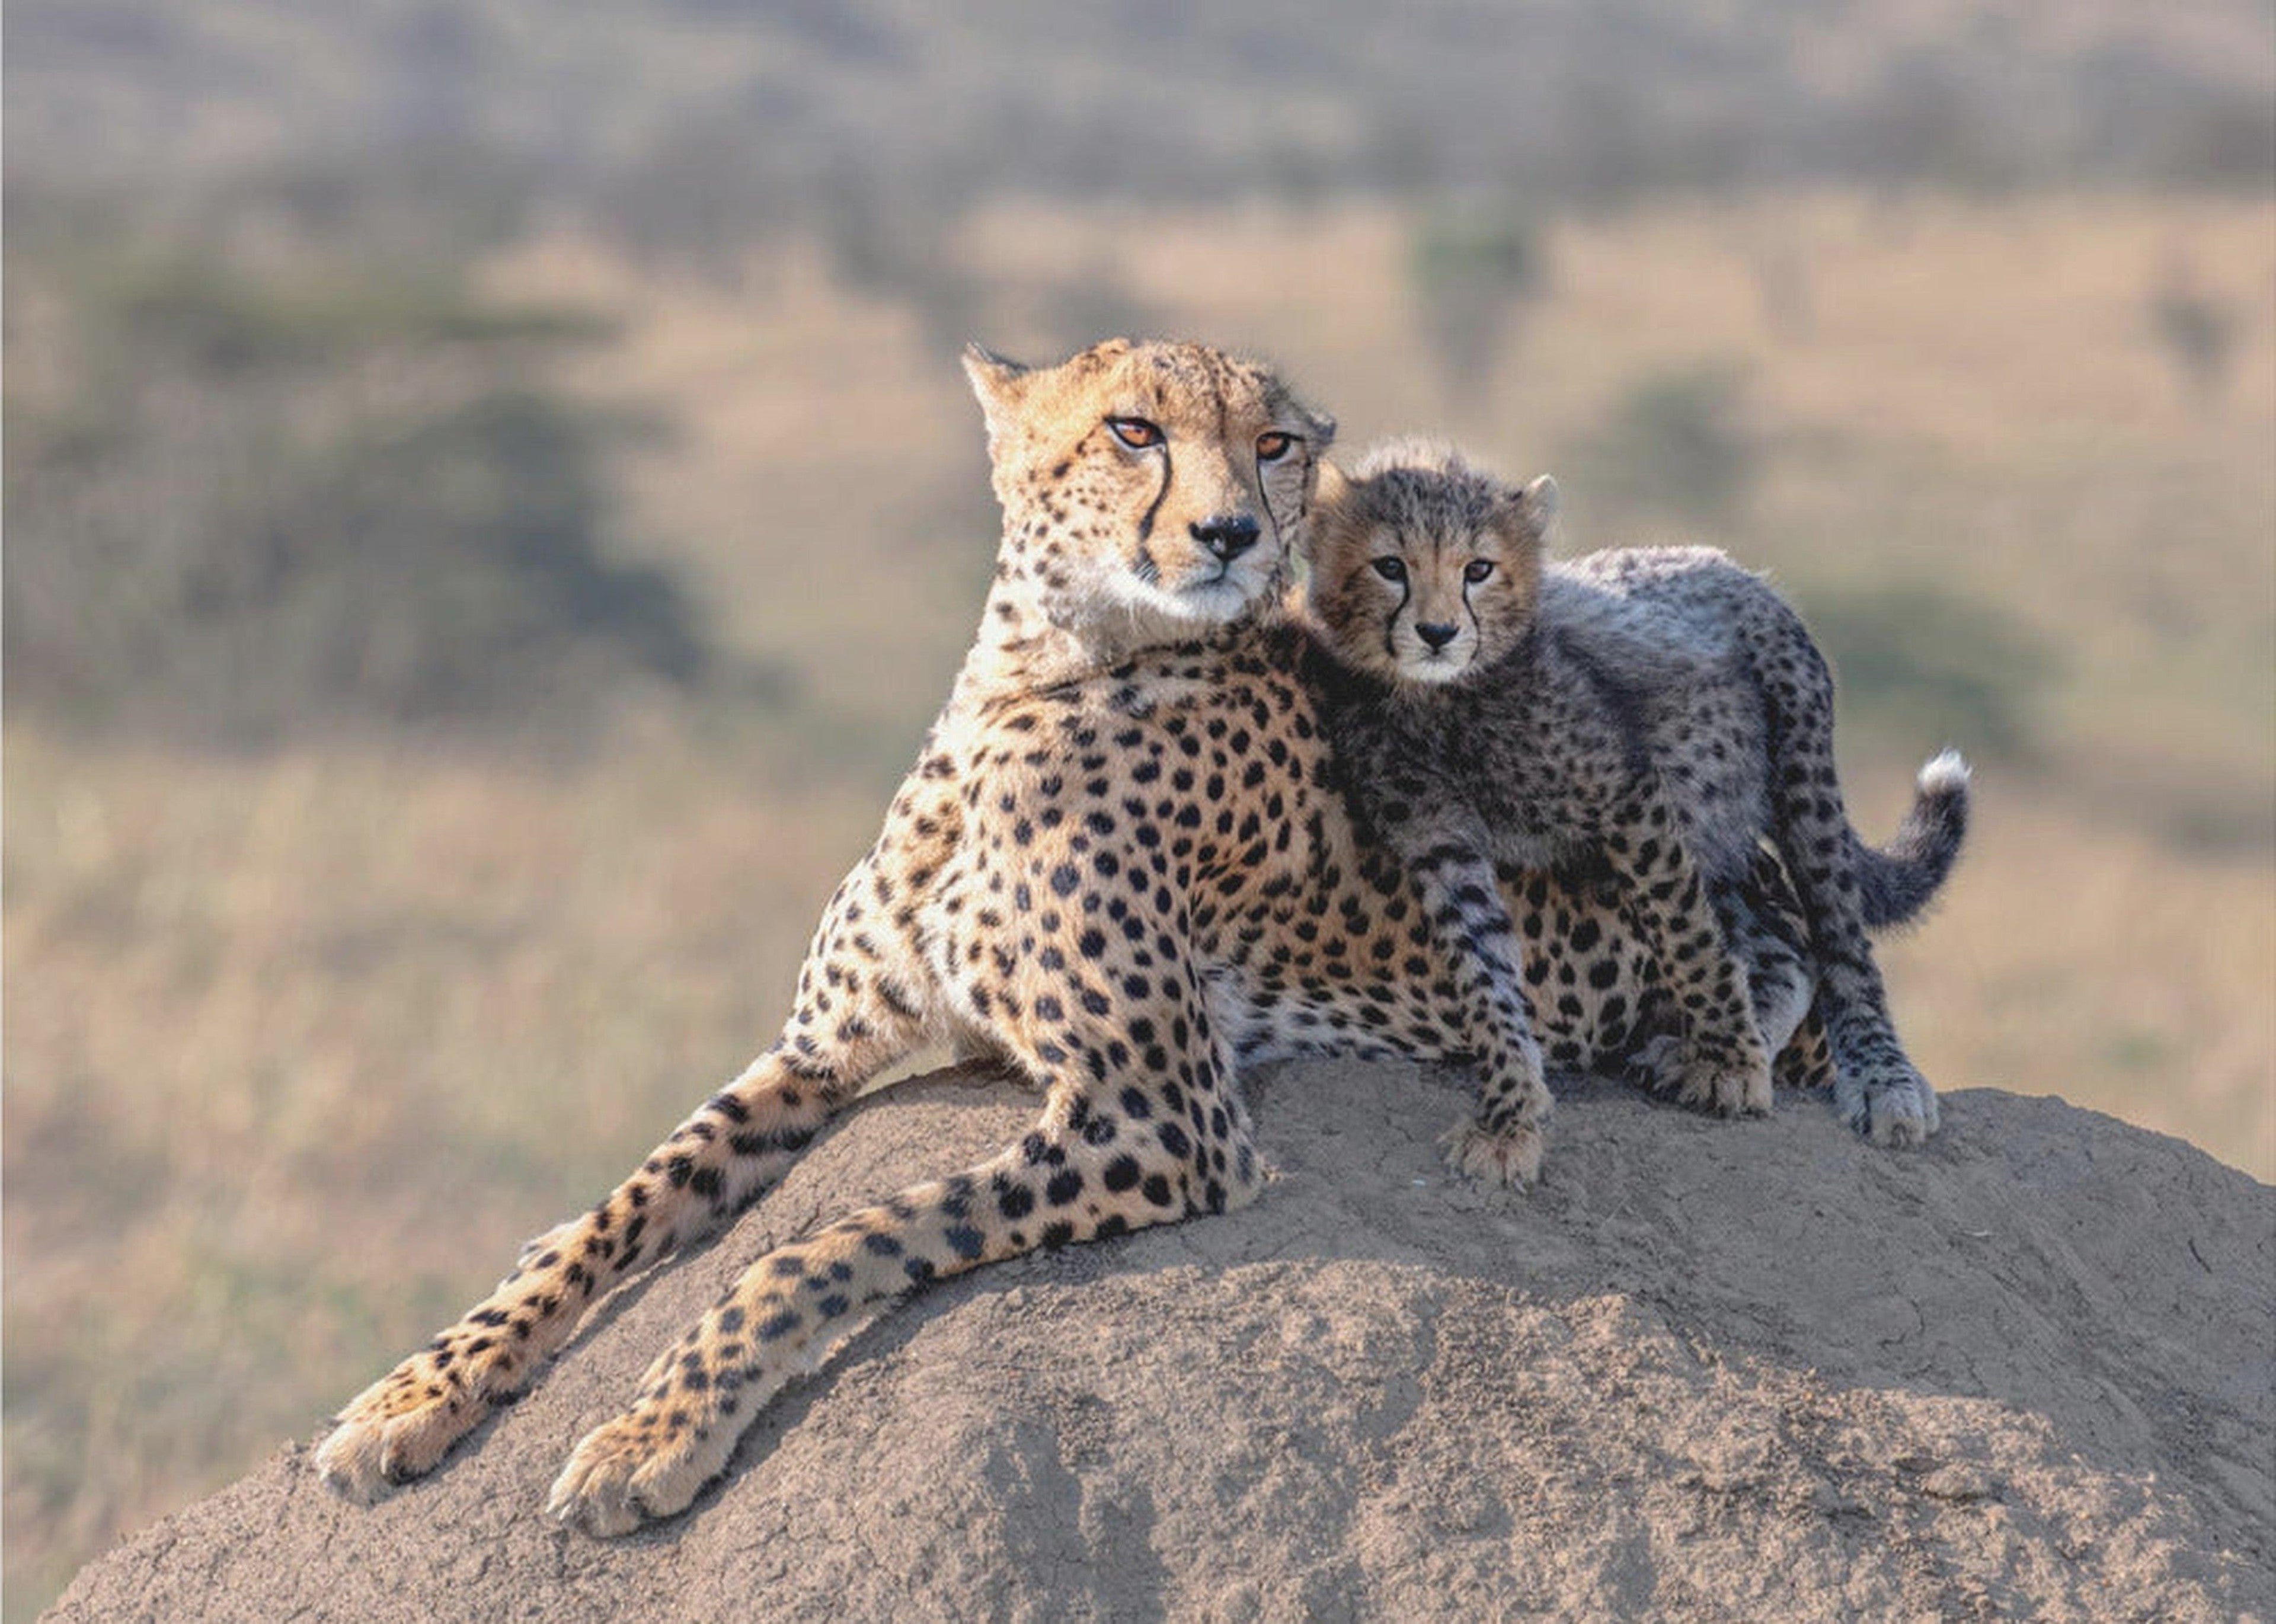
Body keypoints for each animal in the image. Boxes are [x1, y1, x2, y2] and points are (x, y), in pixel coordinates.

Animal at [313, 340, 1887, 1540]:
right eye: (1135, 430)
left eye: (1272, 444)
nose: (1230, 535)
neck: (1037, 676)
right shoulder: (817, 1053)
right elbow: (614, 1209)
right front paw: (416, 1393)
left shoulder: (1164, 1113)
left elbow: (827, 1240)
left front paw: (653, 1432)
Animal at [1301, 438, 1970, 1147]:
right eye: (1390, 567)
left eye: (1477, 569)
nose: (1437, 633)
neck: (1435, 700)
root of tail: (1729, 564)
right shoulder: (1438, 838)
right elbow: (1483, 962)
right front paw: (1512, 1100)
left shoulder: (1626, 797)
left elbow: (1687, 939)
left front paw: (1733, 1066)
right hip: (1709, 823)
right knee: (1780, 947)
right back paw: (1720, 1043)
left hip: (1797, 774)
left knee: (1840, 939)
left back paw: (1880, 1078)